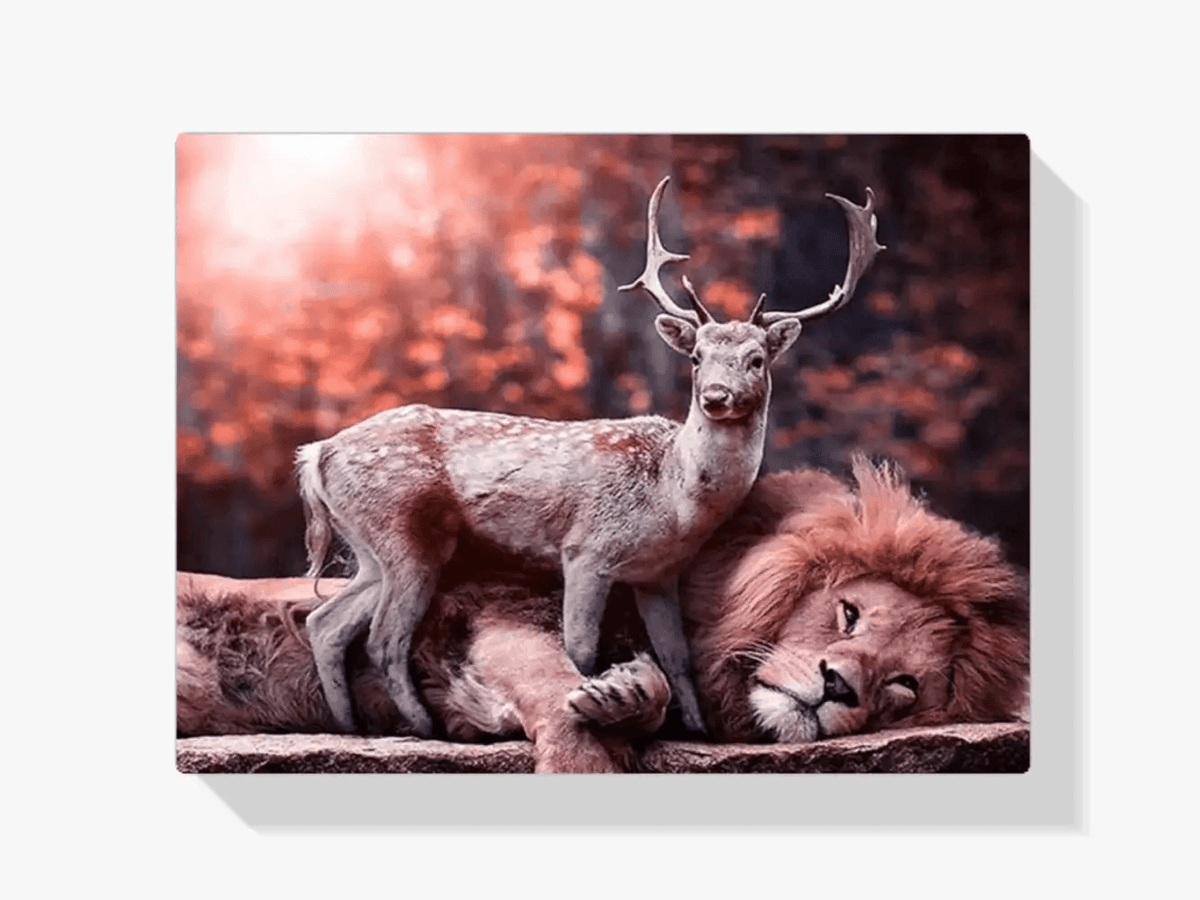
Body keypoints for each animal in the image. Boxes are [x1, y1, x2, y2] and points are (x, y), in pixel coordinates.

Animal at [176, 456, 1029, 772]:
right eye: (849, 614)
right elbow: (559, 697)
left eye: (904, 687)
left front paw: (627, 691)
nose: (839, 688)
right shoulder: (499, 611)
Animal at [296, 175, 884, 739]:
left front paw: (697, 729)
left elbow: (679, 658)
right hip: (405, 533)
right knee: (383, 638)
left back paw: (349, 724)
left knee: (325, 622)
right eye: (696, 357)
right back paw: (425, 728)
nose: (716, 396)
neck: (673, 499)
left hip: (372, 549)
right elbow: (580, 648)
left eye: (757, 359)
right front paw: (594, 711)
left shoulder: (658, 573)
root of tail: (317, 453)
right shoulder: (586, 549)